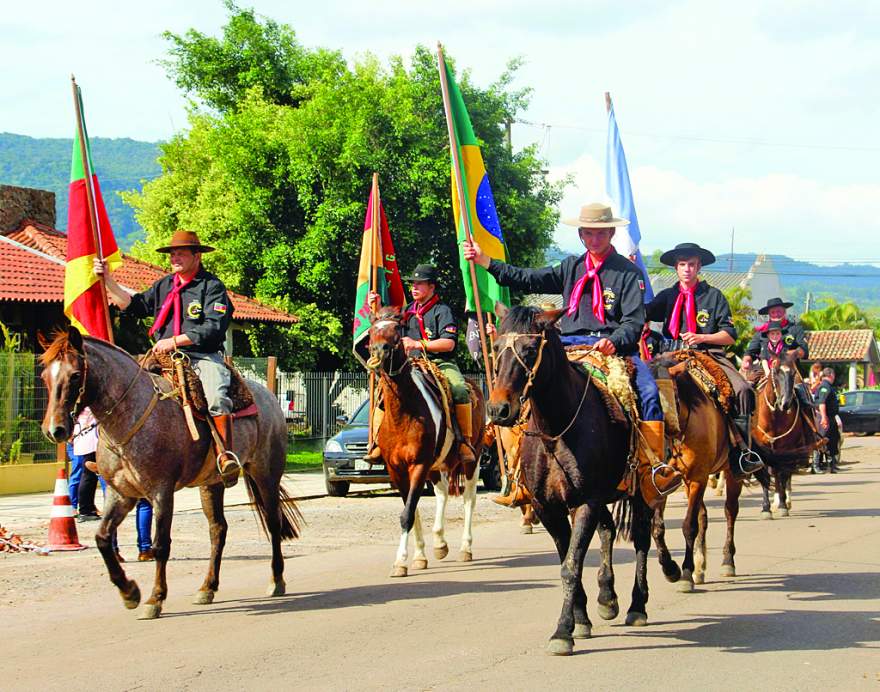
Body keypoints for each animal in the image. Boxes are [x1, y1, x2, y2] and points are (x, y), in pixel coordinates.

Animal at [40, 328, 302, 620]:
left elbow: (160, 545)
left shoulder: (161, 492)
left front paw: (154, 599)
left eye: (75, 374)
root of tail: (268, 396)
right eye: (44, 376)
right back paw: (207, 587)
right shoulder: (121, 495)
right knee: (218, 529)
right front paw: (129, 592)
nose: (55, 429)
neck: (130, 415)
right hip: (211, 484)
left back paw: (276, 580)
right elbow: (103, 538)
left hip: (266, 474)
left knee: (273, 523)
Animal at [366, 308, 484, 580]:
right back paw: (440, 543)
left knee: (469, 498)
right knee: (442, 493)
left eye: (396, 330)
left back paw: (465, 548)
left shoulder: (419, 464)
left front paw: (400, 561)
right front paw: (419, 556)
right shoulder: (396, 469)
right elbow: (412, 510)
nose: (379, 352)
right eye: (373, 330)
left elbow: (408, 513)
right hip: (437, 465)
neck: (404, 411)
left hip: (473, 460)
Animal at [488, 306, 652, 656]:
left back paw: (637, 606)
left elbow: (571, 566)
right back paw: (607, 598)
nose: (499, 409)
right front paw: (581, 618)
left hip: (642, 491)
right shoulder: (547, 507)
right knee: (608, 530)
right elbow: (568, 559)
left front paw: (563, 631)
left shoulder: (586, 502)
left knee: (643, 539)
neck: (556, 430)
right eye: (496, 347)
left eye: (530, 350)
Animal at [648, 354, 744, 592]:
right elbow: (658, 528)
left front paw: (685, 574)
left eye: (672, 394)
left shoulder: (698, 477)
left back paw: (727, 561)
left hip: (729, 473)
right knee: (704, 516)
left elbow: (688, 526)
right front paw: (670, 568)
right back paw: (700, 567)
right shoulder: (663, 482)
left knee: (730, 511)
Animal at [748, 352, 820, 520]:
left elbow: (783, 474)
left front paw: (782, 505)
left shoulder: (787, 448)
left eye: (793, 373)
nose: (785, 402)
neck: (774, 416)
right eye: (776, 372)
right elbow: (765, 475)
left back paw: (785, 500)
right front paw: (766, 508)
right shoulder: (762, 450)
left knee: (783, 474)